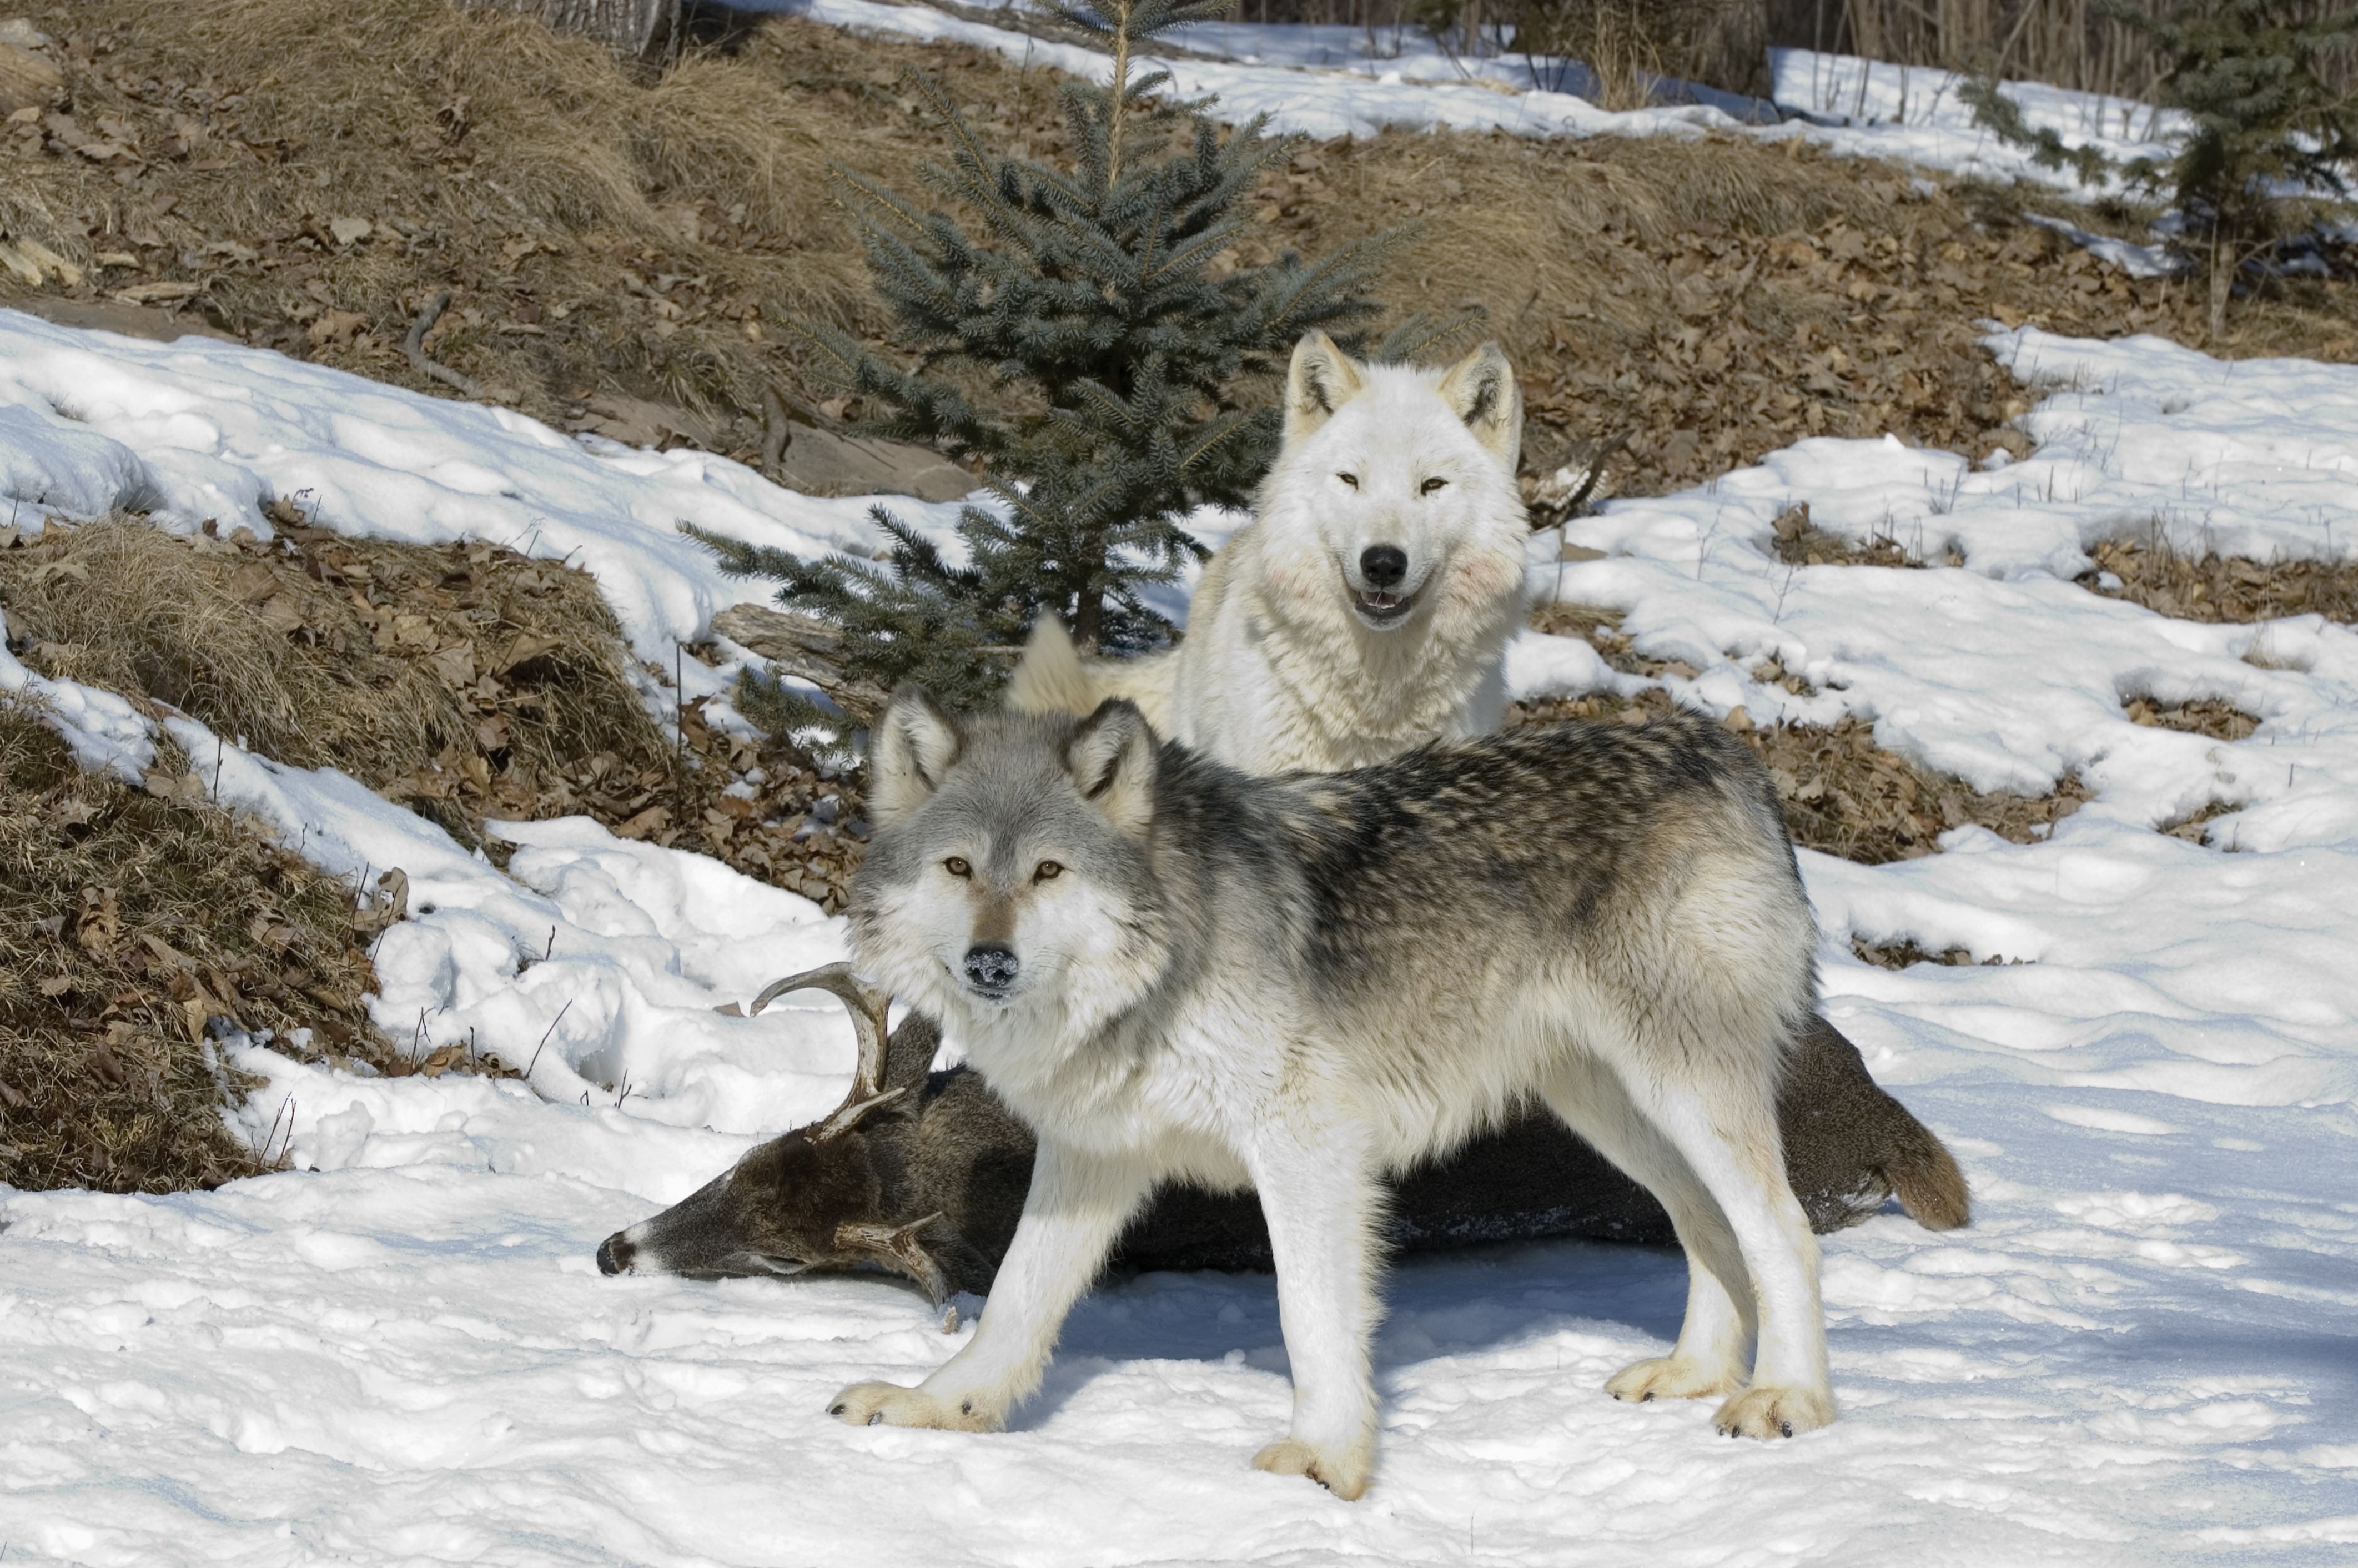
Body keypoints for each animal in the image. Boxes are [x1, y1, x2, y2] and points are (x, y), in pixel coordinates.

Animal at [827, 689, 1837, 1499]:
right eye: (958, 867)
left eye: (1047, 871)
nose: (989, 961)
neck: (1162, 964)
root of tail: (1722, 749)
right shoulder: (1093, 1155)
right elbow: (1014, 1300)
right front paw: (939, 1405)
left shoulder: (1308, 1145)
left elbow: (1309, 1313)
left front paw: (1323, 1459)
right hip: (1610, 1109)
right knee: (1705, 1224)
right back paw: (1695, 1373)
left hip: (1681, 1089)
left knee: (1781, 1229)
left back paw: (1786, 1397)